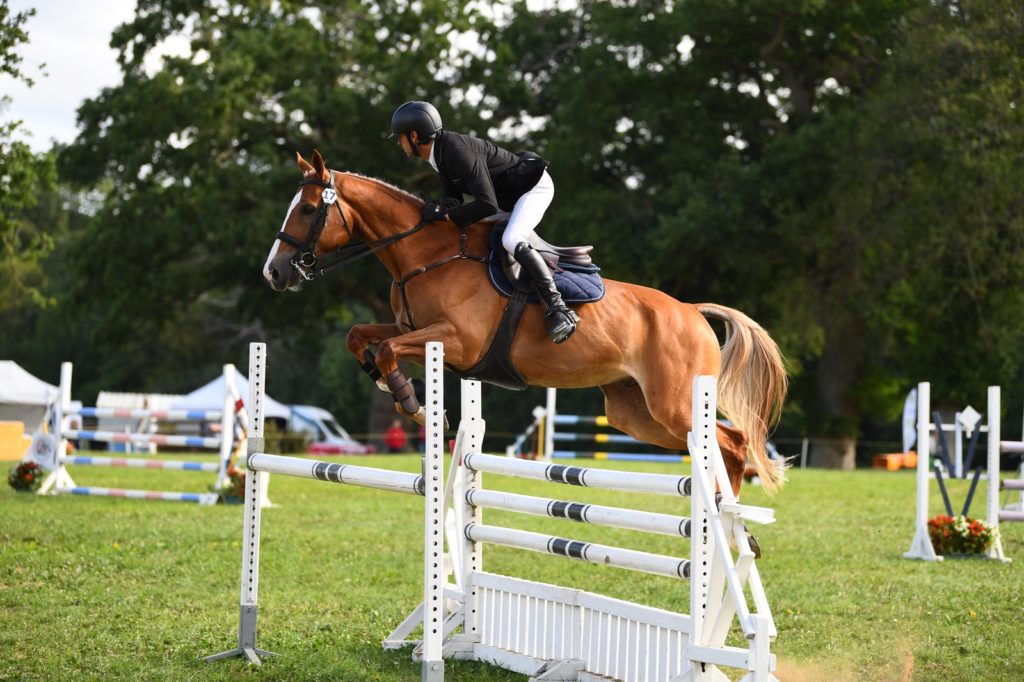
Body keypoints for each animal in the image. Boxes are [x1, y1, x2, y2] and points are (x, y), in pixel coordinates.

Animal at [266, 151, 790, 493]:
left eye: (308, 209)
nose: (273, 273)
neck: (426, 256)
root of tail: (692, 312)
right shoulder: (410, 329)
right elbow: (361, 337)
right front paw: (388, 384)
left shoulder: (457, 343)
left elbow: (392, 349)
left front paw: (413, 402)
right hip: (637, 414)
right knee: (720, 445)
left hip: (676, 402)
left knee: (734, 443)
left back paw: (729, 522)